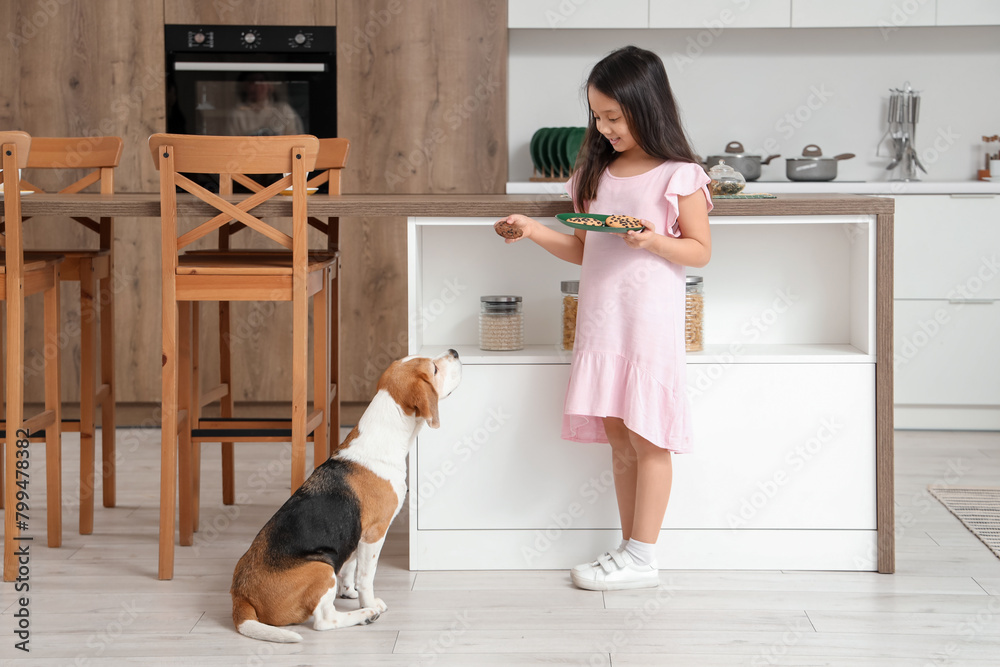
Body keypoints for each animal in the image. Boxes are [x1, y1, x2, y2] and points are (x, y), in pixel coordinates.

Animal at [230, 352, 460, 644]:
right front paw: (367, 602)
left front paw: (348, 591)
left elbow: (350, 565)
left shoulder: (354, 535)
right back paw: (365, 615)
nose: (454, 352)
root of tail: (241, 596)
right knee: (324, 621)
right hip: (321, 568)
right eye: (434, 368)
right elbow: (366, 576)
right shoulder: (374, 532)